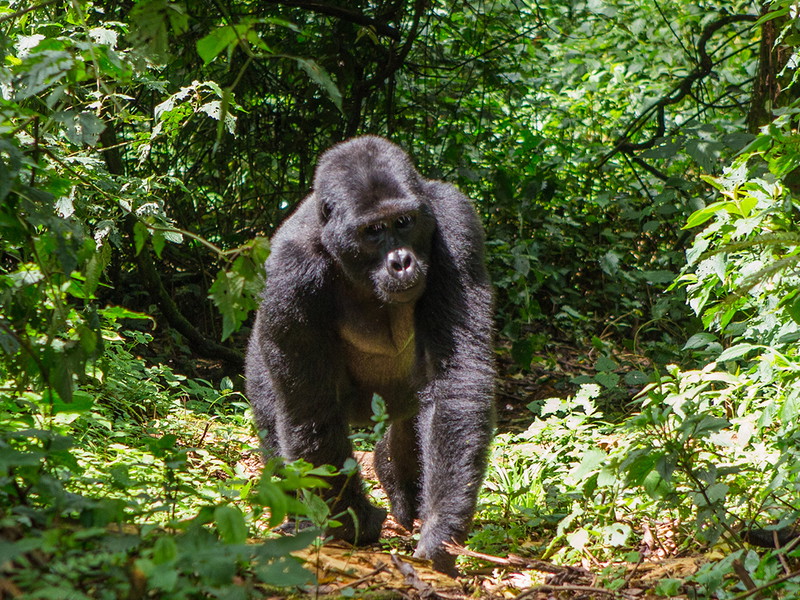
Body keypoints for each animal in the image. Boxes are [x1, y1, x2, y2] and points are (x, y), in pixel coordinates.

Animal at [245, 135, 494, 576]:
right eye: (373, 231)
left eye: (404, 223)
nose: (402, 262)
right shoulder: (291, 273)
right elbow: (311, 409)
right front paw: (354, 523)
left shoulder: (456, 222)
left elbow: (457, 378)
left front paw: (442, 527)